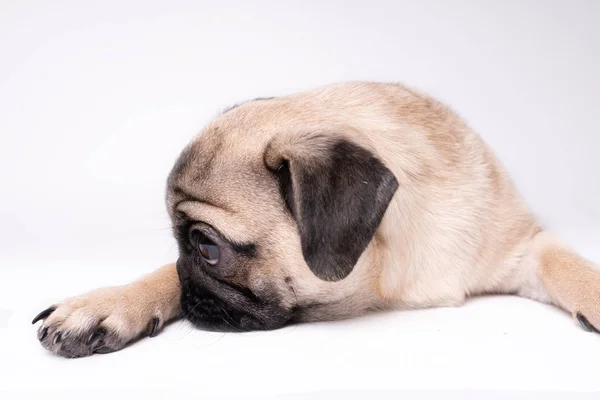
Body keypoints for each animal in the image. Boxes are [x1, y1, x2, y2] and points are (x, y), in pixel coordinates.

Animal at [32, 83, 600, 358]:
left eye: (207, 248)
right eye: (180, 246)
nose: (186, 278)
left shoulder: (525, 245)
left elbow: (567, 265)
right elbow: (155, 277)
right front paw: (110, 303)